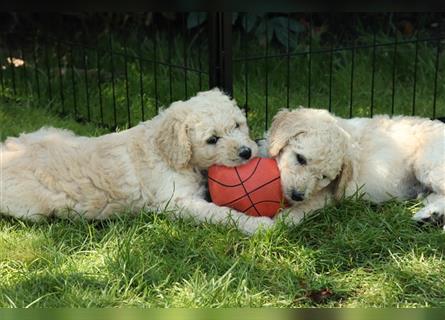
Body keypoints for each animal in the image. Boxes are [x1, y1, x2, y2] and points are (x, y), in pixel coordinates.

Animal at [0, 89, 272, 234]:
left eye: (238, 125)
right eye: (212, 139)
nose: (247, 152)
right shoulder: (175, 202)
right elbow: (219, 213)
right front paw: (258, 225)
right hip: (32, 208)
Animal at [266, 107, 444, 230]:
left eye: (323, 177)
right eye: (300, 159)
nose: (297, 196)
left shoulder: (325, 195)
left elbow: (295, 212)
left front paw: (266, 225)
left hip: (428, 164)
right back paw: (430, 216)